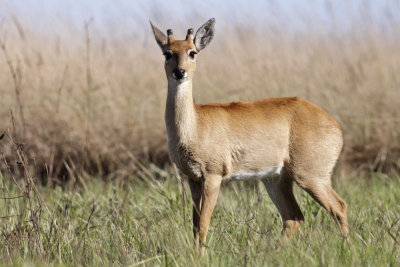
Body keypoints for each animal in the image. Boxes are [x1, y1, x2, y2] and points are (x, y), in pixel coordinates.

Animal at [150, 17, 346, 256]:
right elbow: (195, 225)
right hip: (276, 179)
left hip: (310, 177)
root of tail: (334, 125)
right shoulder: (193, 179)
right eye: (167, 53)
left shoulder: (213, 176)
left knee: (339, 207)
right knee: (294, 217)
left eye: (192, 52)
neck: (194, 125)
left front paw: (201, 257)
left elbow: (204, 223)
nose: (180, 72)